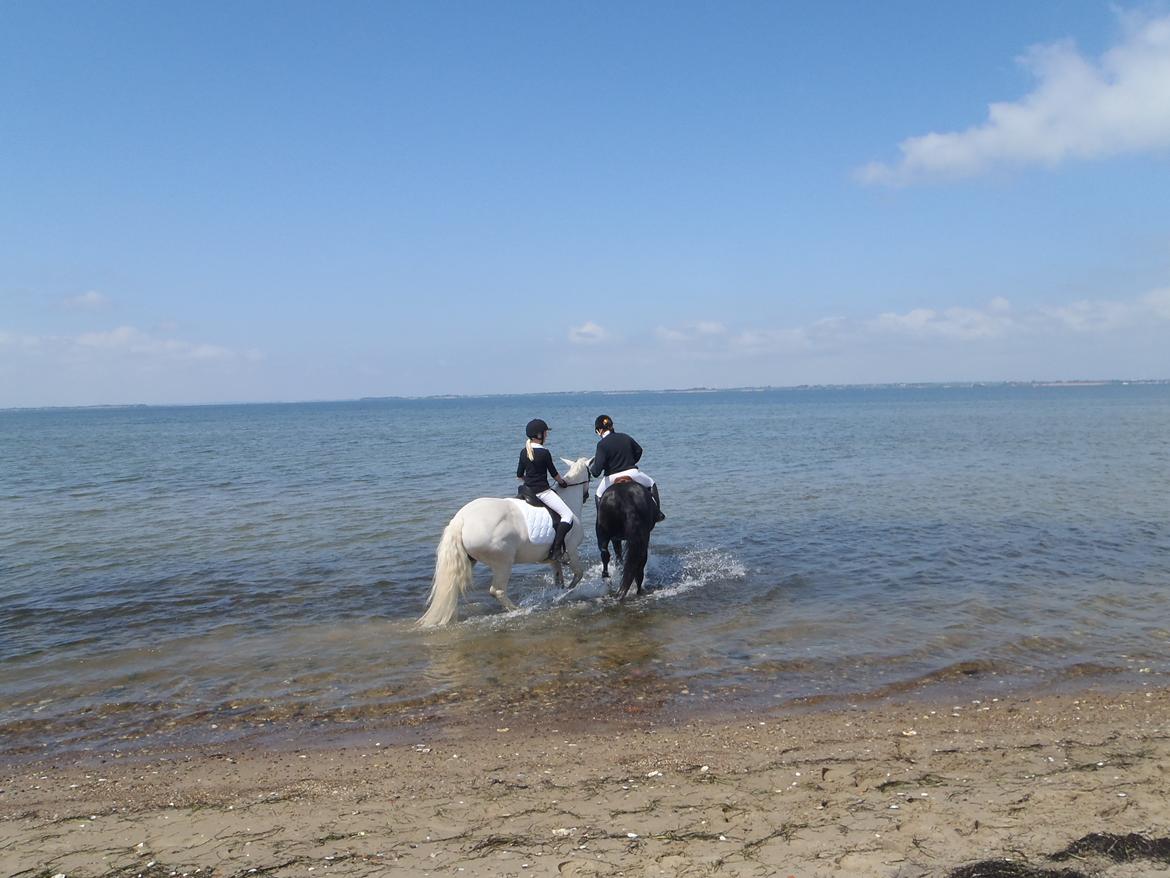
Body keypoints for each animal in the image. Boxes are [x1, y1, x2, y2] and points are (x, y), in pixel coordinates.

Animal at [416, 456, 589, 627]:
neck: (567, 501)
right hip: (502, 562)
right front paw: (566, 593)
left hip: (470, 560)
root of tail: (461, 519)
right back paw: (518, 610)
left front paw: (558, 594)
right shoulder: (572, 549)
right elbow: (578, 574)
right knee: (497, 590)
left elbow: (559, 580)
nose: (586, 496)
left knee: (453, 587)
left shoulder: (553, 558)